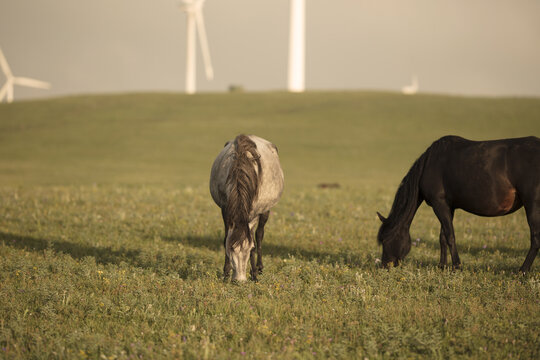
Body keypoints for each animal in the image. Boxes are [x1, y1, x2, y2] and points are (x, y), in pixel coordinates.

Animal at [210, 134, 284, 282]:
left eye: (249, 250)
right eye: (231, 249)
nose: (240, 280)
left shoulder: (254, 212)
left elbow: (254, 241)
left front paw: (254, 274)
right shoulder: (225, 210)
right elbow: (226, 238)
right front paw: (226, 273)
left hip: (265, 211)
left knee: (259, 235)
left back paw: (260, 268)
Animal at [376, 136, 540, 272]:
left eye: (385, 240)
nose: (385, 266)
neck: (429, 164)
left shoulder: (440, 204)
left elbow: (450, 236)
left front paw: (456, 266)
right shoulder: (449, 206)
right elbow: (442, 237)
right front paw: (442, 266)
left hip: (532, 205)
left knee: (535, 238)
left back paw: (522, 270)